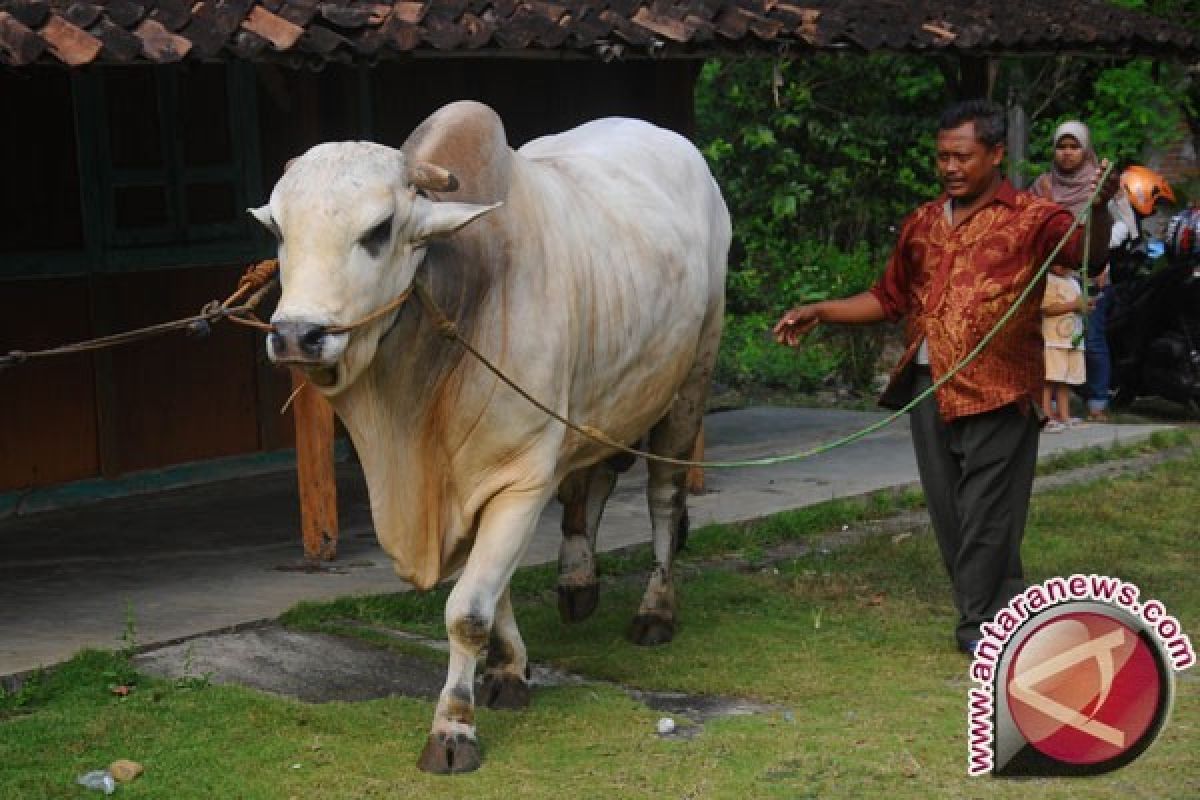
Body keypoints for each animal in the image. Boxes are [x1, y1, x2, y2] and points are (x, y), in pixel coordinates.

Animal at [253, 100, 729, 767]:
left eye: (379, 229)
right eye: (279, 230)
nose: (297, 335)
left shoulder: (519, 477)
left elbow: (469, 610)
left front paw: (453, 728)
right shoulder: (471, 488)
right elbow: (493, 590)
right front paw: (509, 670)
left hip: (690, 383)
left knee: (664, 499)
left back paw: (655, 610)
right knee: (589, 486)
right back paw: (577, 580)